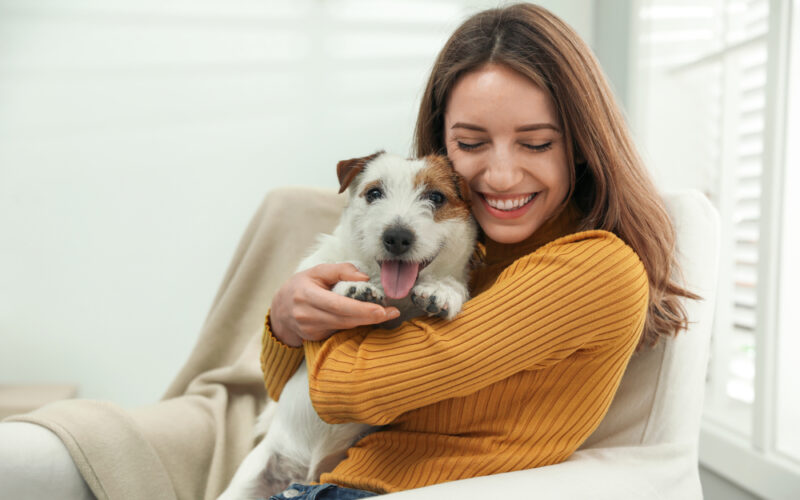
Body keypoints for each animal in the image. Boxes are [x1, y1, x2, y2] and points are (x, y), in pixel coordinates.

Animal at [219, 151, 478, 500]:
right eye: (374, 193)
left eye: (436, 197)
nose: (397, 237)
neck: (395, 298)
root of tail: (301, 473)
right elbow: (339, 268)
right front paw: (353, 285)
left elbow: (451, 283)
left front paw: (442, 290)